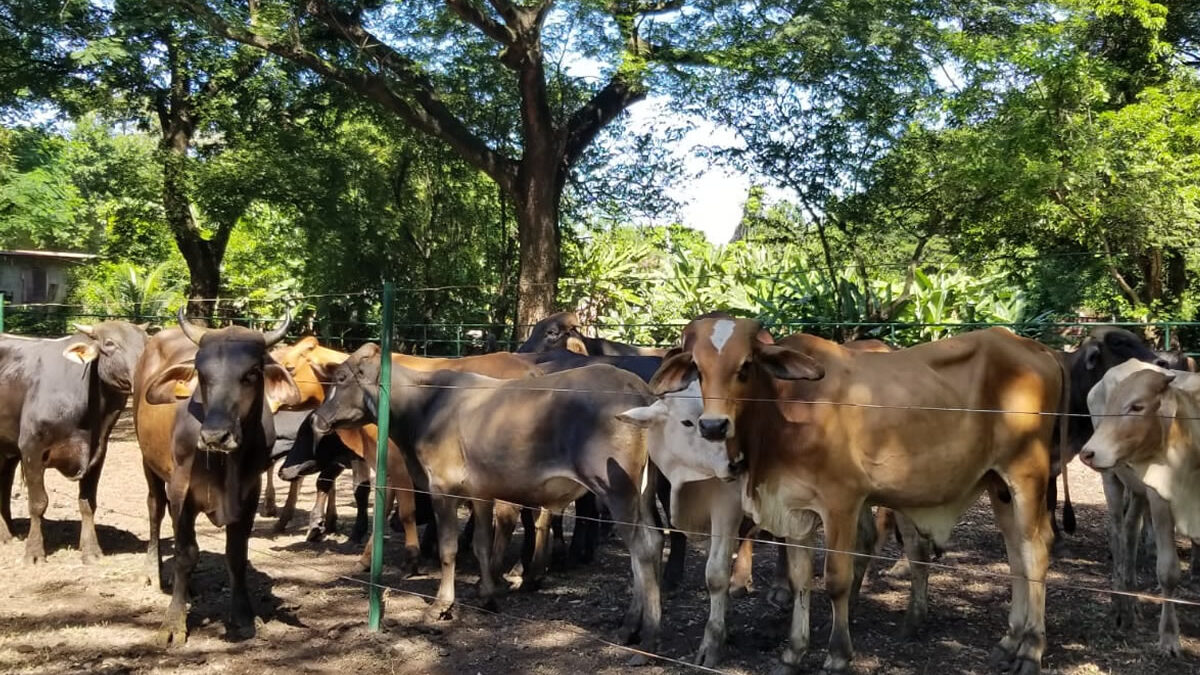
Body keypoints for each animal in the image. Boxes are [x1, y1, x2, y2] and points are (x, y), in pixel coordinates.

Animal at [135, 309, 300, 638]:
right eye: (201, 373)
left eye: (251, 373)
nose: (215, 436)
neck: (226, 466)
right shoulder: (180, 491)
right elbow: (186, 553)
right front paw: (174, 622)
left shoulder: (250, 492)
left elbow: (236, 555)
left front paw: (243, 614)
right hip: (149, 463)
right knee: (155, 511)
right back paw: (153, 572)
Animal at [652, 319, 1065, 672]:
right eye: (698, 369)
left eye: (745, 366)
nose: (713, 426)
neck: (785, 410)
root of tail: (1038, 349)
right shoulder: (795, 508)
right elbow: (801, 579)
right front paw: (793, 653)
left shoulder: (841, 504)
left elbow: (835, 580)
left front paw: (837, 656)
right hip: (999, 485)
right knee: (1016, 554)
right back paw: (1009, 642)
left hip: (1026, 473)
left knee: (1036, 551)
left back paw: (1030, 651)